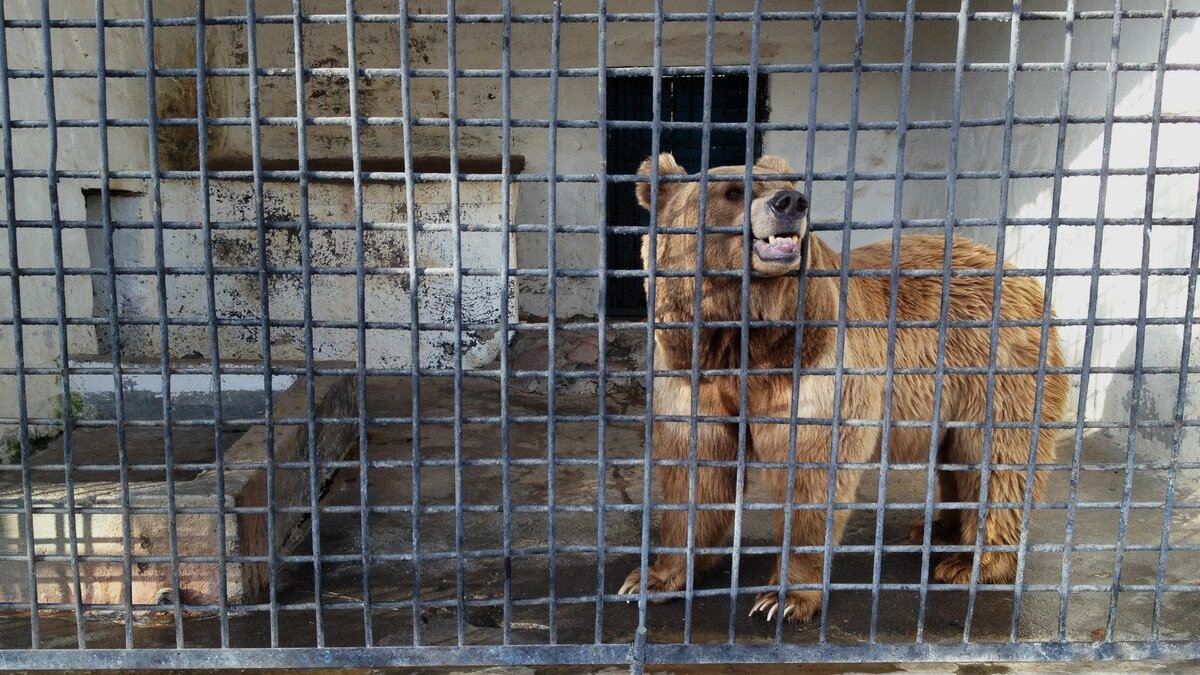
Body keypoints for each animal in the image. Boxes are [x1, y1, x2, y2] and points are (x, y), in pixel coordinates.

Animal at [619, 152, 1070, 619]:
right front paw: (652, 577)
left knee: (996, 457)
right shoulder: (693, 376)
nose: (790, 202)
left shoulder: (814, 374)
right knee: (956, 459)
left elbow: (813, 474)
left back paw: (973, 562)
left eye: (789, 185)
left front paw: (783, 598)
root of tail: (1018, 273)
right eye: (732, 191)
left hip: (997, 371)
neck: (744, 341)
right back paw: (939, 527)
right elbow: (696, 472)